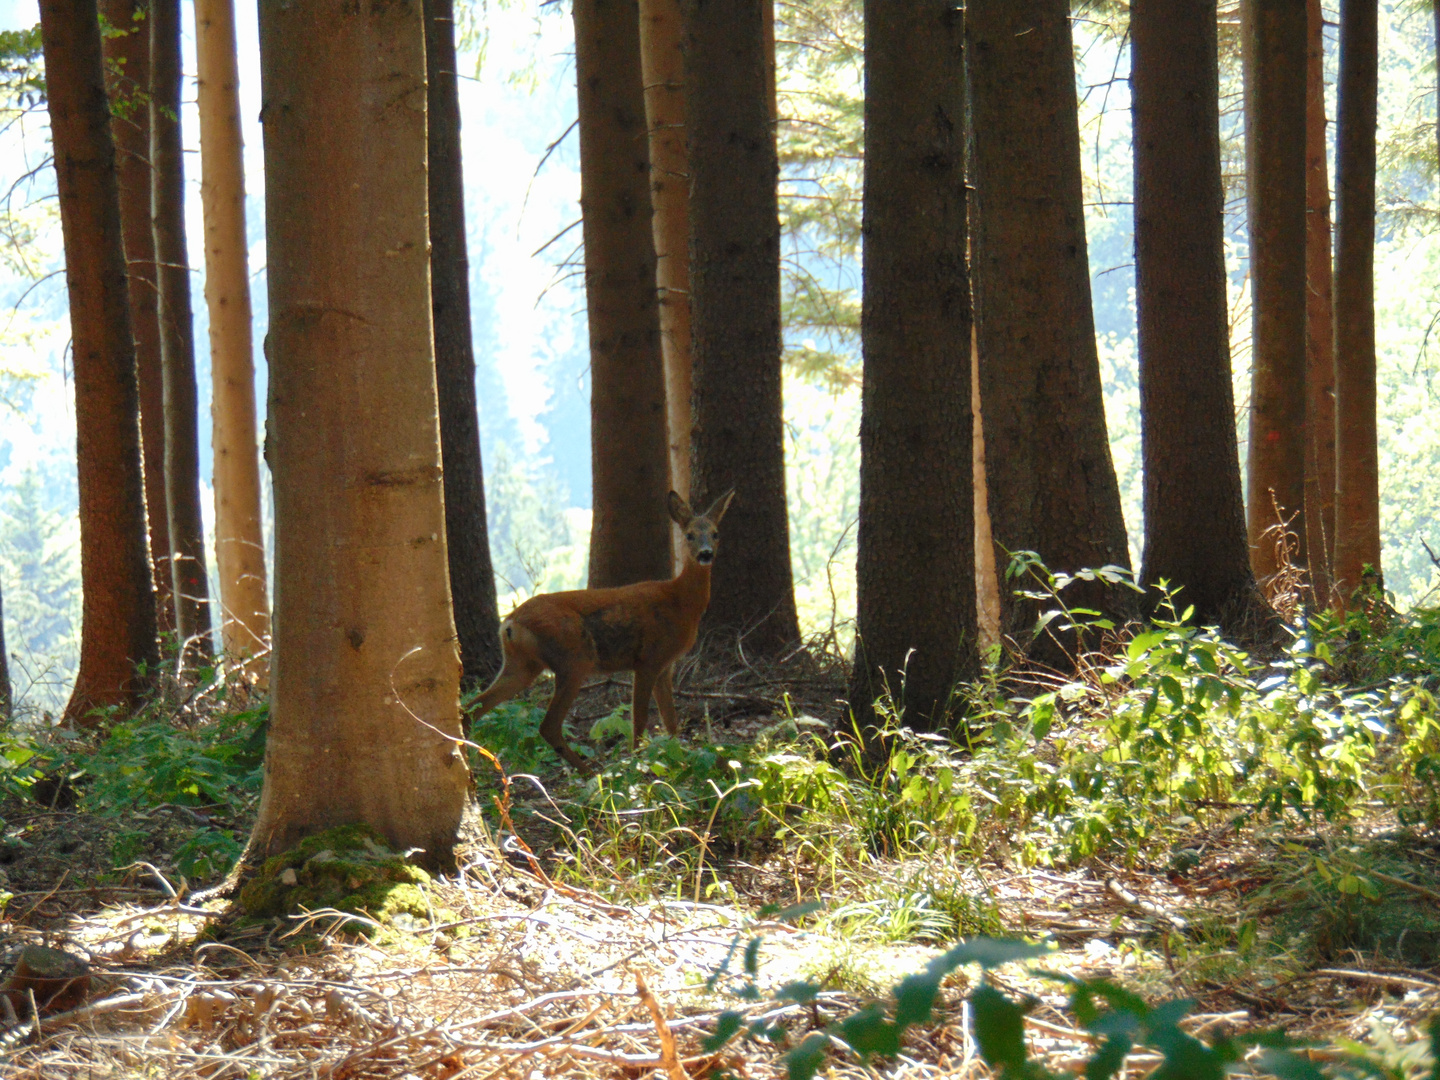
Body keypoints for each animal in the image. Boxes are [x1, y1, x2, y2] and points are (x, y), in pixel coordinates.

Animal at [472, 489, 737, 771]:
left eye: (715, 533)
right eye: (689, 535)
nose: (705, 554)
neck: (680, 602)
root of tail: (509, 623)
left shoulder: (666, 666)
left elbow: (671, 723)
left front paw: (681, 761)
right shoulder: (647, 659)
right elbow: (639, 721)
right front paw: (638, 764)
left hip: (522, 664)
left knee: (474, 708)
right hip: (574, 658)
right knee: (548, 725)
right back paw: (589, 772)